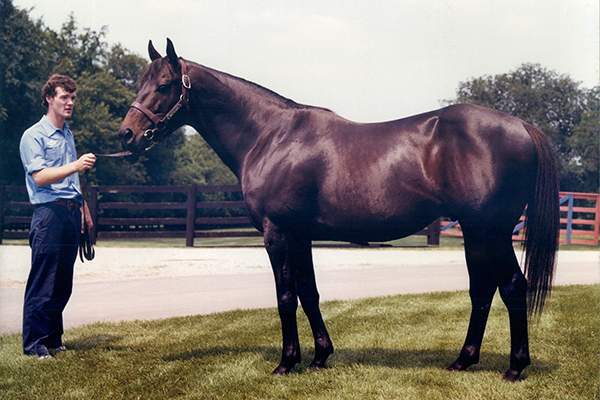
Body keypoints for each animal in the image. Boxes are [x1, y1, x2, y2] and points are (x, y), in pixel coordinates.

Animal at [118, 39, 564, 382]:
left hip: (491, 231)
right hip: (474, 232)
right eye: (141, 83)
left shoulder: (277, 233)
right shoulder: (300, 235)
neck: (269, 135)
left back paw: (514, 368)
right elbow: (309, 293)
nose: (126, 135)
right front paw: (319, 356)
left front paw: (286, 363)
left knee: (513, 287)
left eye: (163, 85)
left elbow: (285, 296)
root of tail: (522, 126)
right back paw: (463, 360)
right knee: (482, 290)